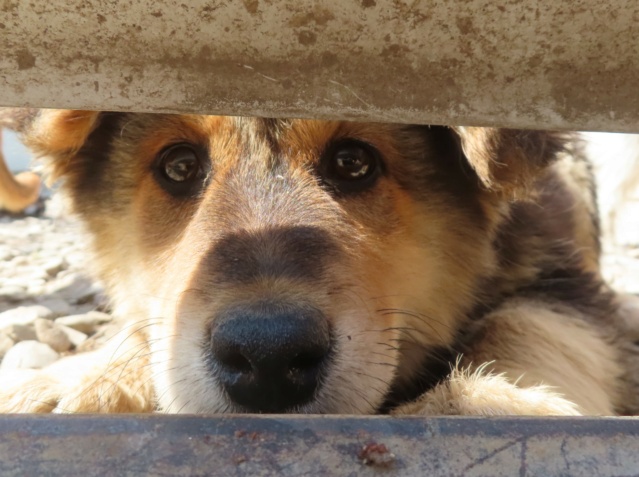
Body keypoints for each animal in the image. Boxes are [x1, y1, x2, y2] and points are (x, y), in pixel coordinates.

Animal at [1, 109, 639, 414]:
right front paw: (81, 376)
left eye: (354, 162)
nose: (267, 358)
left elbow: (528, 322)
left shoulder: (566, 278)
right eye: (178, 166)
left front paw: (489, 403)